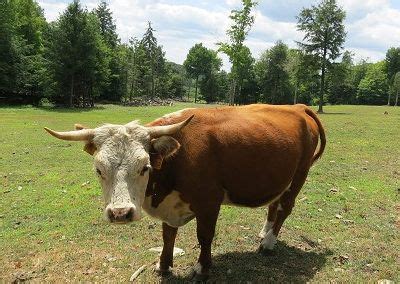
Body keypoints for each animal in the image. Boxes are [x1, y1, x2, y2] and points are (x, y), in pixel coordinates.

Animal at [44, 103, 324, 280]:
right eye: (99, 169)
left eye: (144, 167)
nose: (120, 213)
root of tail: (297, 107)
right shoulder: (170, 206)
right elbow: (168, 236)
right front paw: (163, 265)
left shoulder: (209, 202)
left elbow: (204, 236)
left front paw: (202, 268)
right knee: (273, 205)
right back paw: (264, 232)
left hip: (299, 176)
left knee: (285, 208)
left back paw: (269, 242)